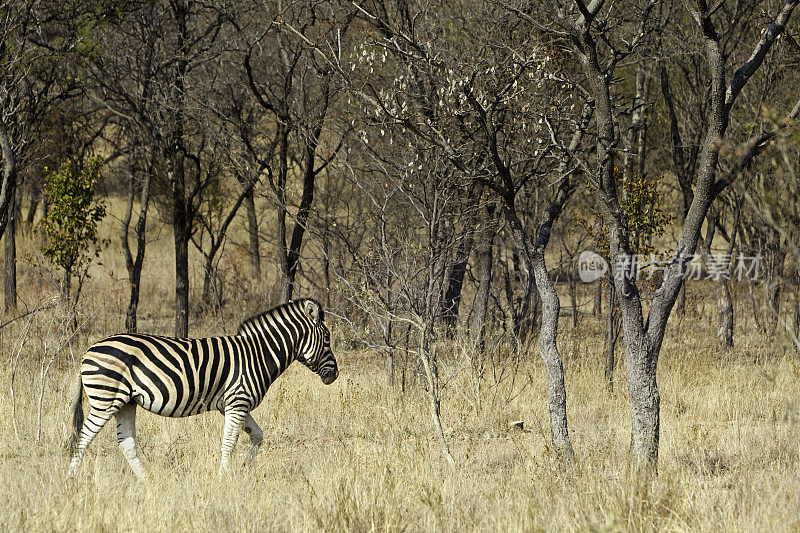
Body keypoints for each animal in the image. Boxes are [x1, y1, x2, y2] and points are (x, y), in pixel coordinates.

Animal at [65, 298, 334, 476]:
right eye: (328, 339)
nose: (335, 375)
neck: (258, 354)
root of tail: (87, 351)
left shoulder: (233, 404)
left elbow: (257, 435)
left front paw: (245, 469)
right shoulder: (238, 401)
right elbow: (229, 442)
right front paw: (223, 478)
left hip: (126, 402)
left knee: (126, 443)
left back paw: (147, 481)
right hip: (106, 400)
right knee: (84, 437)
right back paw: (72, 479)